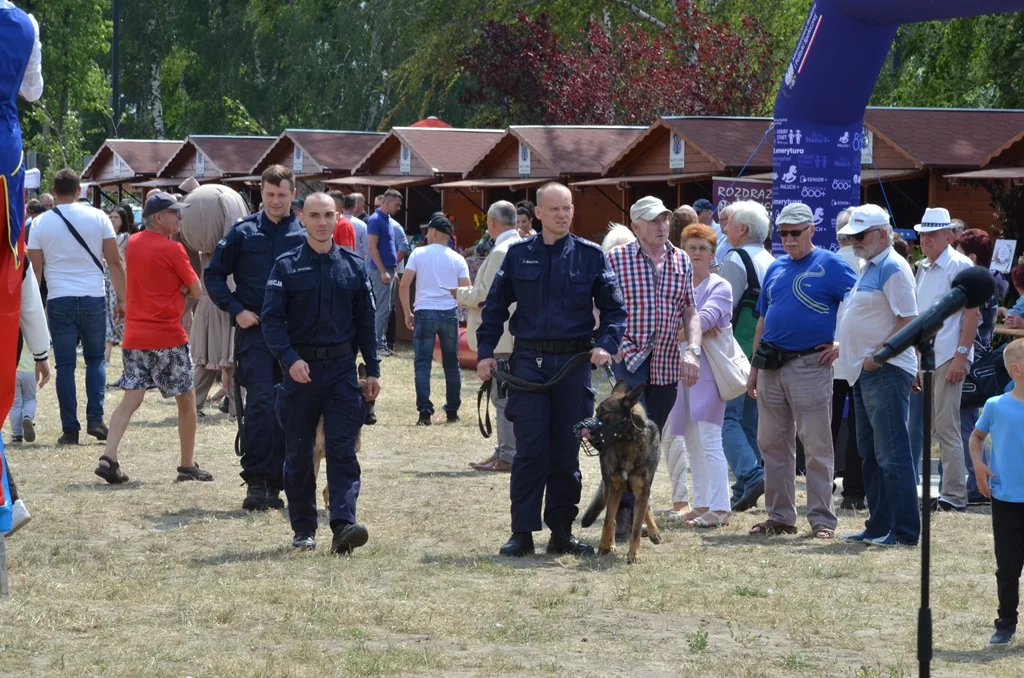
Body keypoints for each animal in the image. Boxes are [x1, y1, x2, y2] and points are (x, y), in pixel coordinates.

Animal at [581, 378, 659, 565]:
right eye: (596, 410)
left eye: (604, 412)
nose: (585, 430)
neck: (627, 442)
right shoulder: (614, 487)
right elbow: (609, 520)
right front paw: (604, 546)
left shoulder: (642, 490)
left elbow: (637, 528)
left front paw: (633, 555)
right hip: (611, 488)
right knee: (614, 517)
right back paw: (612, 543)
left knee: (643, 508)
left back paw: (653, 532)